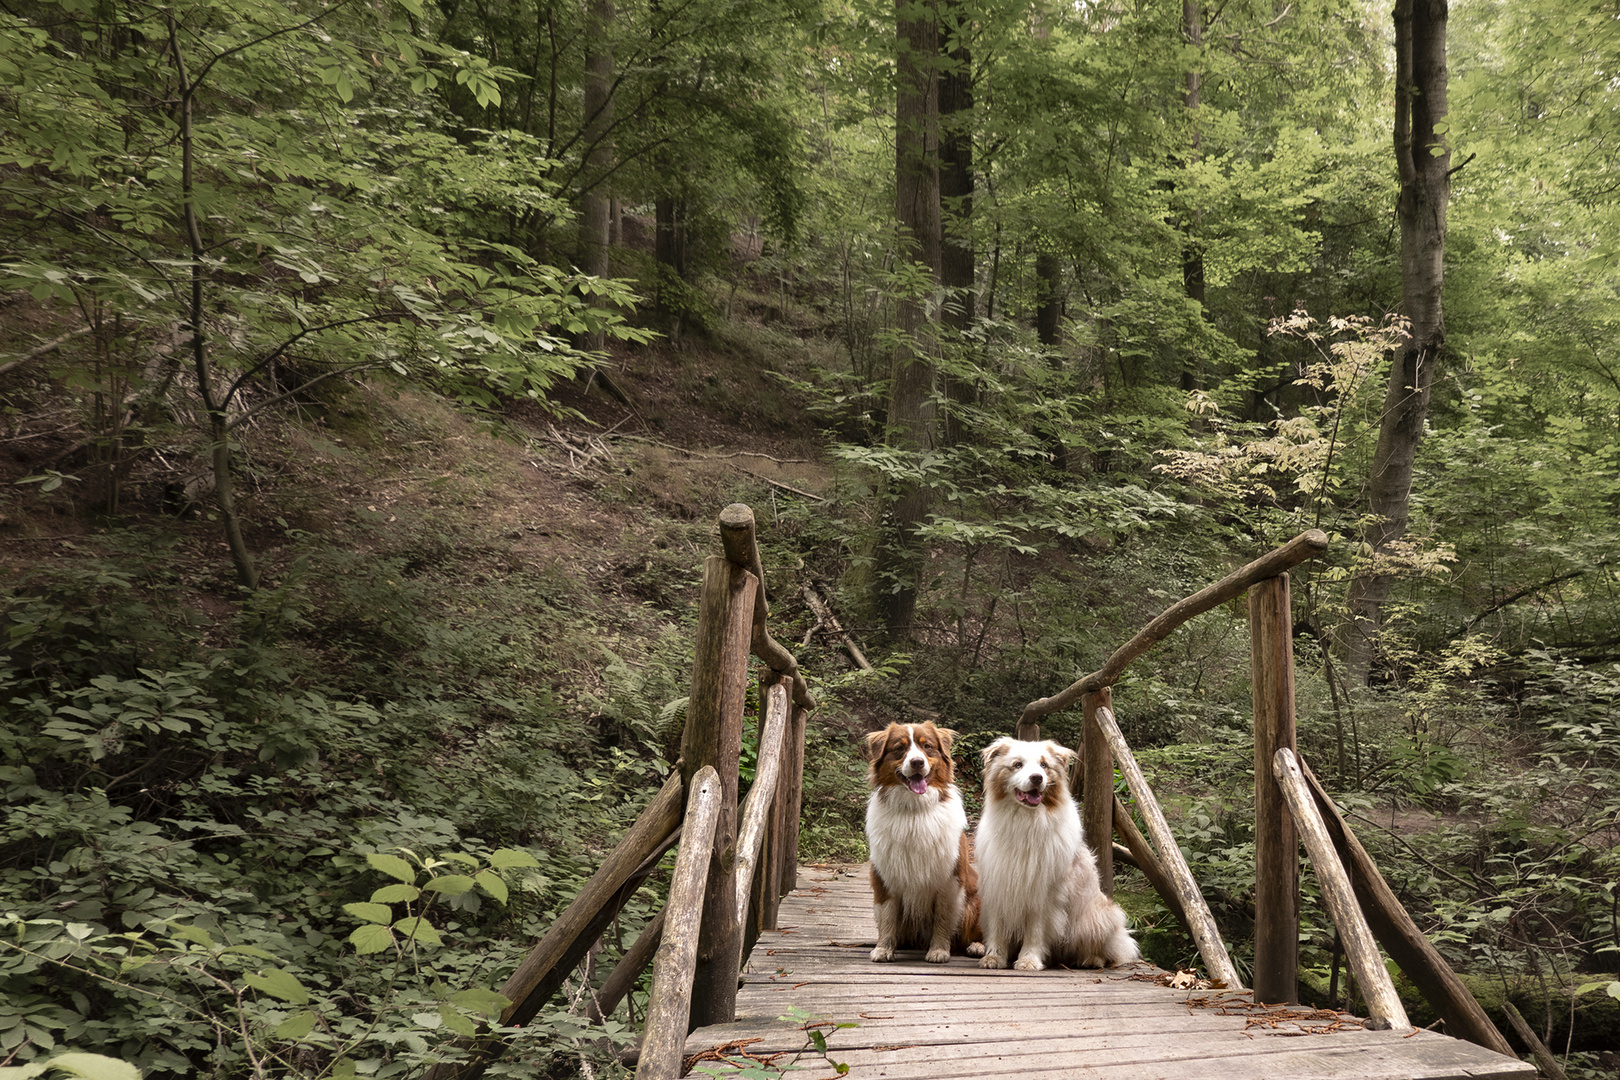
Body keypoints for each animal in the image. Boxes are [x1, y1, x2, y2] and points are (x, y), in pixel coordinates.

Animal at [861, 725, 984, 965]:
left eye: (927, 746)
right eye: (899, 748)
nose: (917, 762)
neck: (914, 810)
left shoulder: (949, 879)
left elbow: (943, 918)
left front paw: (939, 951)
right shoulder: (885, 876)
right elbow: (887, 916)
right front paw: (883, 949)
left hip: (975, 902)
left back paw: (977, 946)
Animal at [972, 735, 1140, 971]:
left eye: (1044, 765)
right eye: (1017, 764)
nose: (1037, 778)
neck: (1025, 822)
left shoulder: (1044, 891)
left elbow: (1035, 931)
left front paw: (1029, 960)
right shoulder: (998, 882)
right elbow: (998, 926)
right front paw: (994, 957)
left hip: (1100, 917)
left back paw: (1090, 959)